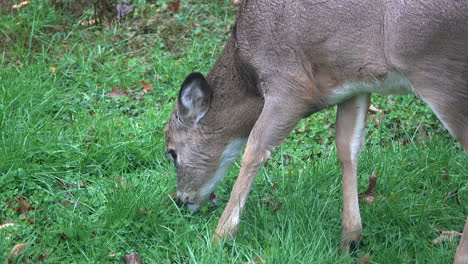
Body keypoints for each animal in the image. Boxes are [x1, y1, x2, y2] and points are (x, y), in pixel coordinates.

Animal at [165, 0, 468, 256]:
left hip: (440, 72)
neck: (248, 68)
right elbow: (347, 148)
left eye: (172, 151)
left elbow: (254, 150)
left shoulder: (289, 86)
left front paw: (220, 238)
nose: (181, 201)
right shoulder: (354, 84)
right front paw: (350, 239)